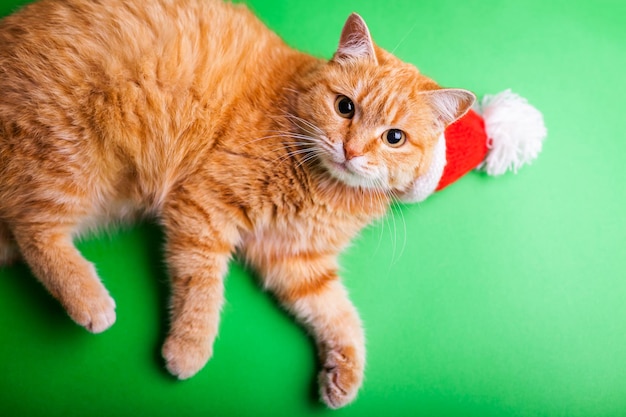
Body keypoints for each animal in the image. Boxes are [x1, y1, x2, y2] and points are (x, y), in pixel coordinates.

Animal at [0, 0, 470, 410]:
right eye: (344, 107)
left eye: (394, 137)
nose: (350, 150)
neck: (324, 186)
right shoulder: (205, 207)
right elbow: (202, 286)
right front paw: (189, 348)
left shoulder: (295, 259)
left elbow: (337, 311)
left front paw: (345, 373)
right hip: (74, 155)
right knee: (33, 227)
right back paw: (89, 300)